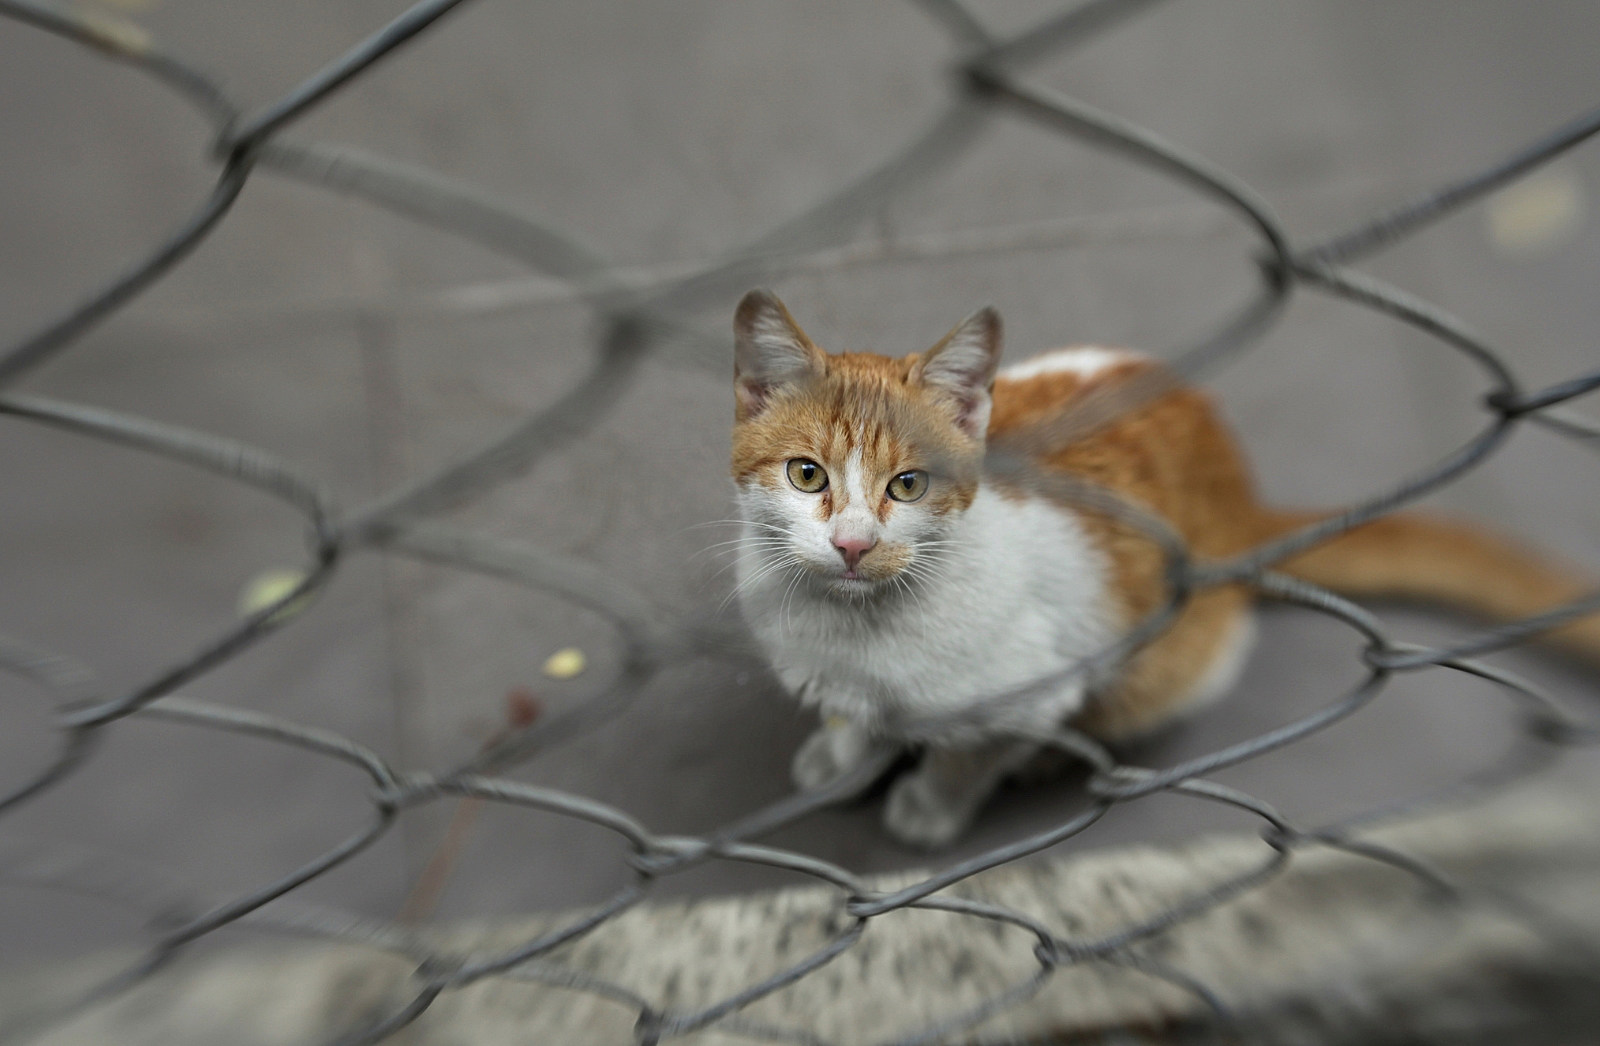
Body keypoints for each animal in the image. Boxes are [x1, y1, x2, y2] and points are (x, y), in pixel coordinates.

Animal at [729, 286, 1600, 850]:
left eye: (909, 486)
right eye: (807, 475)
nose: (852, 544)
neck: (854, 626)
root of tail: (1241, 494)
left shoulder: (1030, 685)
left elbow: (965, 754)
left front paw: (931, 806)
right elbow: (849, 716)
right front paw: (840, 758)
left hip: (1171, 661)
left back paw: (1046, 759)